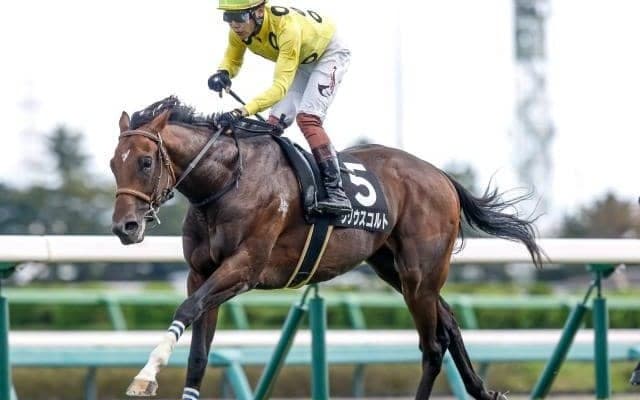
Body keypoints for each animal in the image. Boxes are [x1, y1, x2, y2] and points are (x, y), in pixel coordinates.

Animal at [110, 96, 544, 399]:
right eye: (114, 163)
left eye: (146, 162)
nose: (124, 227)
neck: (226, 182)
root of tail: (440, 175)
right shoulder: (201, 272)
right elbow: (199, 352)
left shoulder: (245, 267)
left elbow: (186, 309)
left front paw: (144, 377)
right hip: (396, 269)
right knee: (449, 324)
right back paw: (481, 389)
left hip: (420, 274)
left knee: (433, 345)